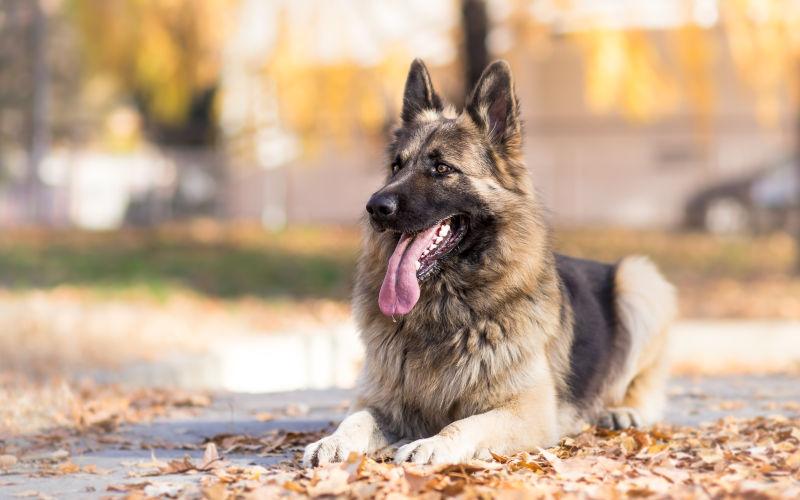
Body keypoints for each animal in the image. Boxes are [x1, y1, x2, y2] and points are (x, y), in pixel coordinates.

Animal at [304, 60, 680, 466]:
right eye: (395, 166)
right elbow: (355, 419)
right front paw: (331, 440)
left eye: (442, 168)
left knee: (641, 384)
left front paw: (432, 443)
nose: (375, 207)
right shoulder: (378, 400)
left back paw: (624, 409)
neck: (444, 309)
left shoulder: (527, 412)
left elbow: (464, 424)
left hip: (638, 279)